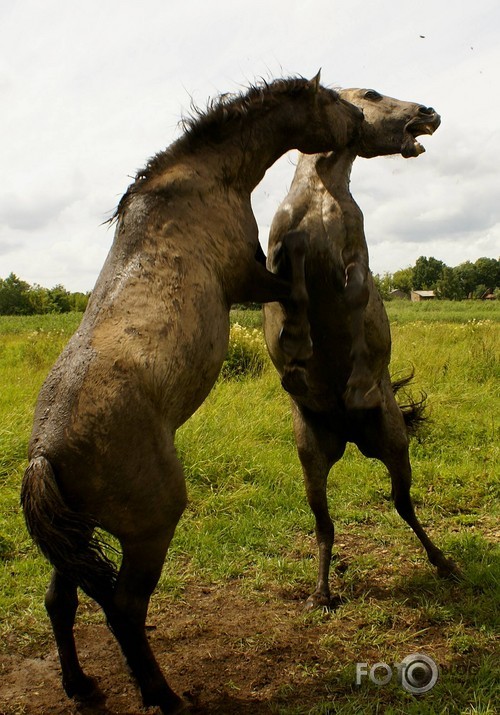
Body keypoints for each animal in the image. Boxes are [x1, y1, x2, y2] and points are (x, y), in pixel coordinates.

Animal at [19, 74, 366, 715]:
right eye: (331, 99)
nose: (357, 122)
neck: (206, 175)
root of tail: (44, 456)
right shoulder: (248, 277)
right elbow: (295, 276)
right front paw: (300, 341)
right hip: (150, 530)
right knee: (124, 610)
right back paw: (163, 695)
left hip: (77, 539)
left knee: (62, 602)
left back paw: (82, 686)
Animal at [264, 89, 458, 612]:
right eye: (371, 94)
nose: (430, 113)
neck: (322, 196)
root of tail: (351, 437)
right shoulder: (278, 251)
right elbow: (289, 288)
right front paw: (296, 354)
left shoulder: (355, 259)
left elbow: (354, 298)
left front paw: (352, 380)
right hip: (312, 458)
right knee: (324, 525)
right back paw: (321, 593)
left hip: (392, 444)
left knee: (404, 504)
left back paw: (445, 564)